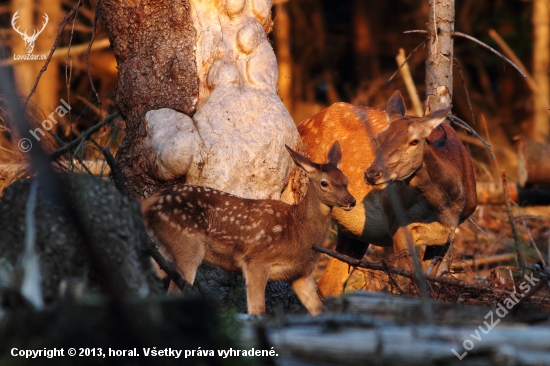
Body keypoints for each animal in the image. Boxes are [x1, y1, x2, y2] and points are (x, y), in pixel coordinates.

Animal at [142, 142, 358, 316]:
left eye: (347, 181)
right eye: (324, 183)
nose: (351, 201)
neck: (299, 230)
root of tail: (150, 202)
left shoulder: (300, 274)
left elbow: (319, 310)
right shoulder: (256, 260)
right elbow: (257, 310)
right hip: (188, 246)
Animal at [298, 91, 478, 298]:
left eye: (414, 140)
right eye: (377, 138)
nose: (372, 173)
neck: (445, 206)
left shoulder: (445, 236)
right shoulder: (397, 222)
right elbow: (414, 286)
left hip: (354, 231)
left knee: (329, 284)